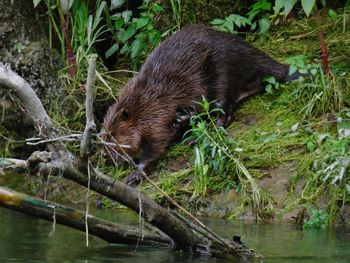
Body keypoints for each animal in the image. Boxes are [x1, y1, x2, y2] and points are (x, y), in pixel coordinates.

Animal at [101, 24, 300, 175]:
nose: (103, 155)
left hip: (221, 72)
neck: (140, 101)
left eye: (112, 135)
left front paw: (136, 172)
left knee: (224, 110)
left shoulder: (155, 114)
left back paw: (196, 130)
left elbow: (156, 144)